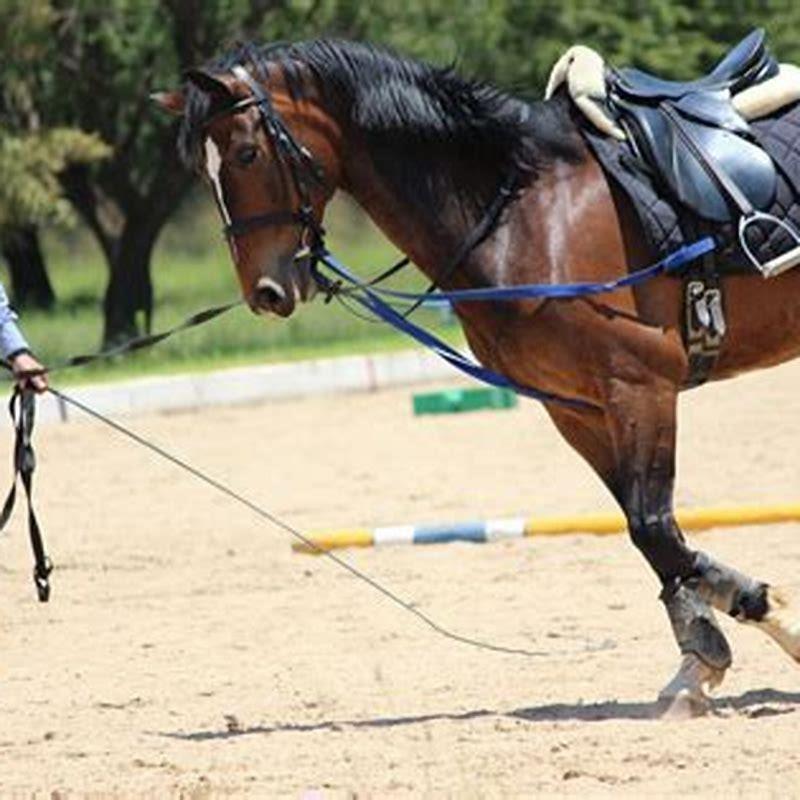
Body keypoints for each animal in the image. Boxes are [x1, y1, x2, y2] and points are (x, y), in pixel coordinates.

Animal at [155, 37, 800, 716]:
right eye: (202, 171)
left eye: (247, 154)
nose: (266, 292)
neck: (526, 211)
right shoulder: (576, 407)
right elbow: (650, 532)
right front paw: (703, 656)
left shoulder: (639, 388)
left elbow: (653, 526)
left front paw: (768, 620)